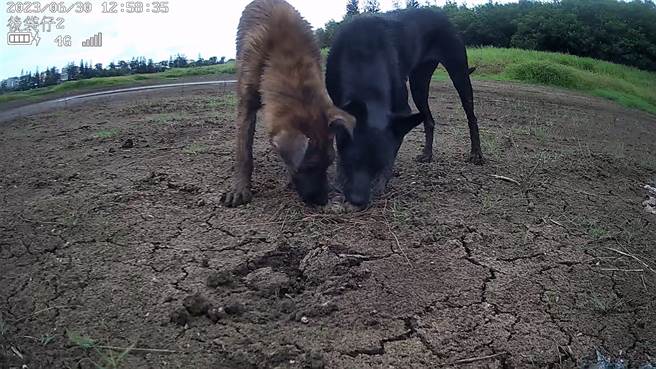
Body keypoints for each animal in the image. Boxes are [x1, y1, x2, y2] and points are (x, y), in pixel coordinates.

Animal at [222, 0, 354, 207]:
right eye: (308, 167)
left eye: (329, 162)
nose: (322, 200)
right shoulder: (245, 106)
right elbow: (244, 153)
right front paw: (240, 189)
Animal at [326, 7, 484, 207]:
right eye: (352, 160)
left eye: (379, 165)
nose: (358, 200)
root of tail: (441, 14)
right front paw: (340, 177)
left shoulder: (402, 113)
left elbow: (392, 151)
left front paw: (382, 182)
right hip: (419, 84)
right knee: (429, 120)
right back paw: (427, 154)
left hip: (458, 72)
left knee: (471, 116)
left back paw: (476, 153)